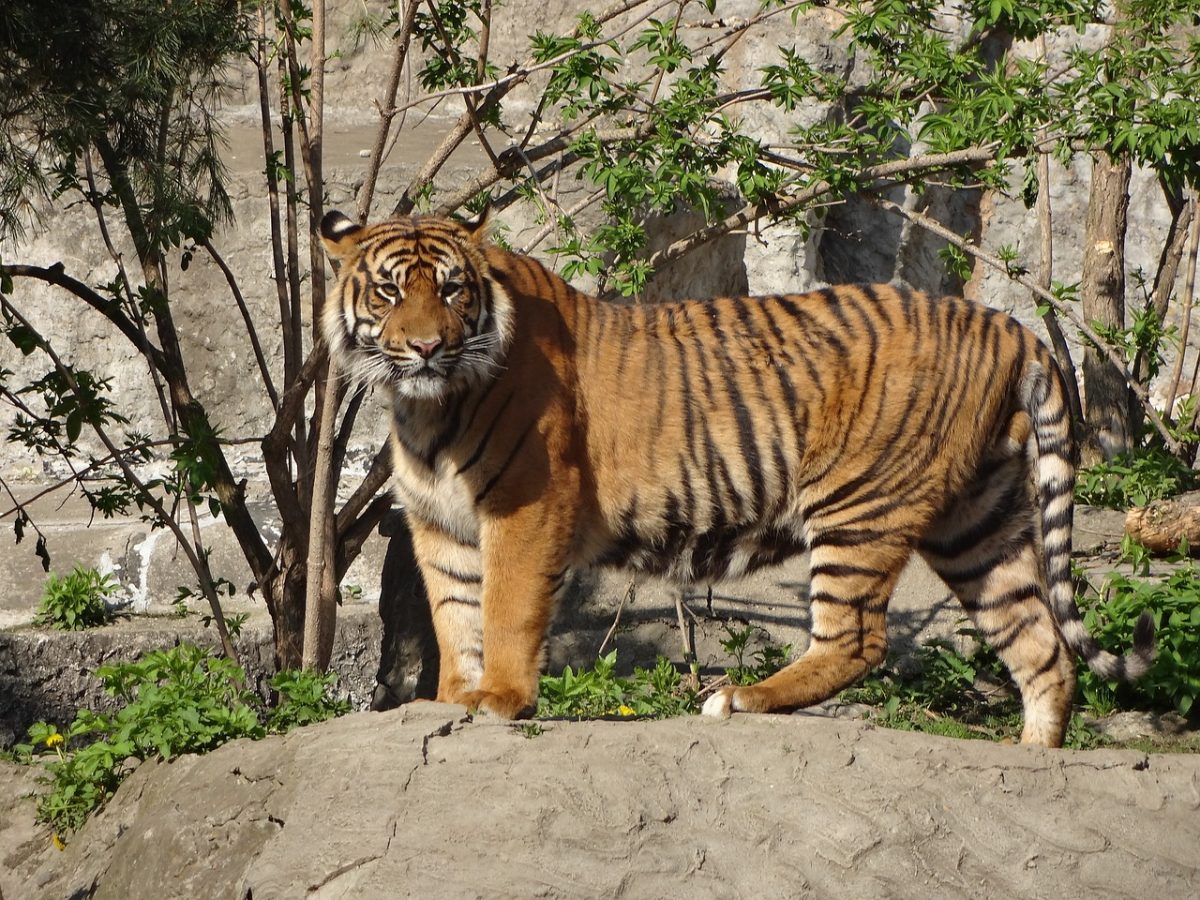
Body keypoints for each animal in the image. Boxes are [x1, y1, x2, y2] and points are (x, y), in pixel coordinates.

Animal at [316, 210, 1152, 748]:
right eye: (389, 293)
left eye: (453, 290)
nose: (427, 347)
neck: (425, 406)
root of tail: (1008, 325)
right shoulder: (439, 523)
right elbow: (454, 617)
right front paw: (452, 702)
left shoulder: (526, 507)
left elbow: (504, 610)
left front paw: (499, 701)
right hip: (979, 519)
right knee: (1040, 642)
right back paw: (1034, 755)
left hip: (861, 502)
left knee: (858, 639)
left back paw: (740, 700)